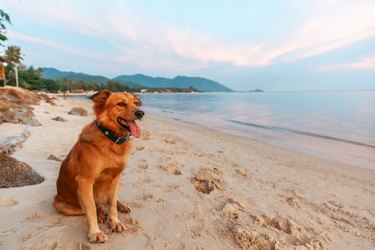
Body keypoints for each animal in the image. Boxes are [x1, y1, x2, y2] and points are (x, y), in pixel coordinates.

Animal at [53, 90, 145, 242]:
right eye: (121, 104)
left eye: (136, 103)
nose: (141, 113)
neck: (112, 139)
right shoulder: (85, 181)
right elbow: (90, 209)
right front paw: (95, 232)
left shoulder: (116, 177)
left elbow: (112, 203)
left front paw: (115, 222)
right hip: (64, 204)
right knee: (90, 207)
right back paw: (101, 214)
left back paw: (121, 206)